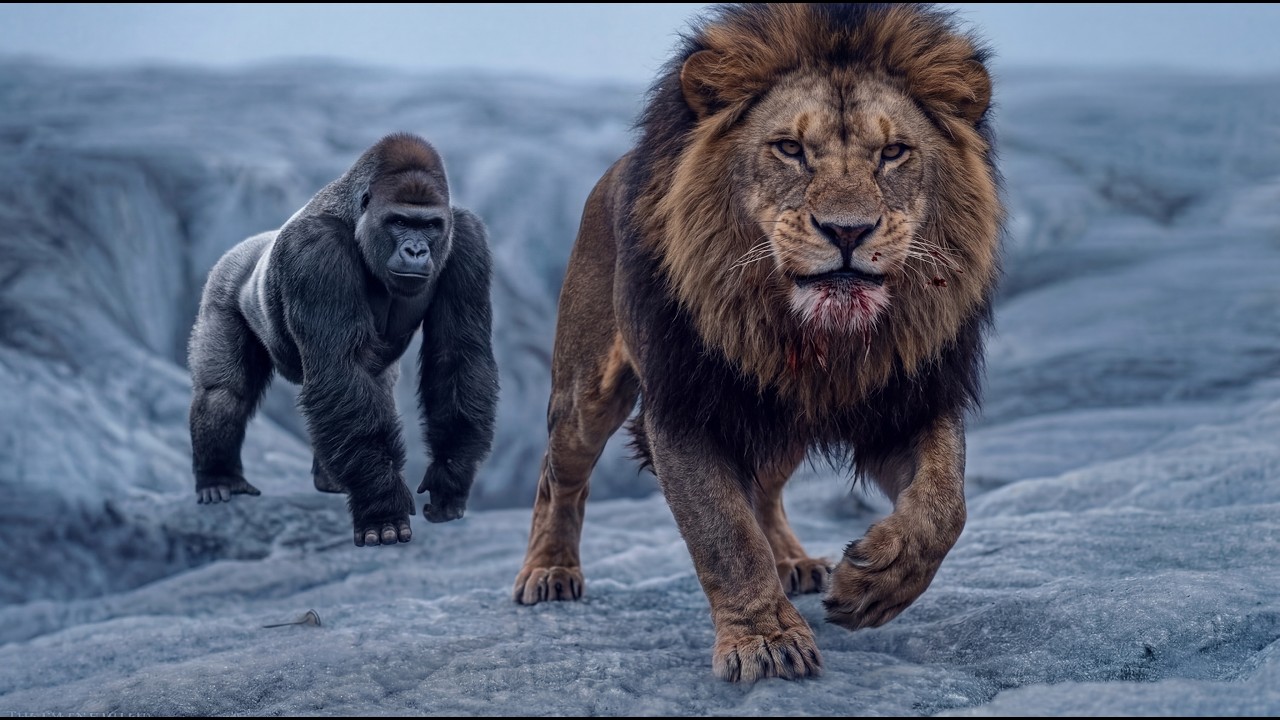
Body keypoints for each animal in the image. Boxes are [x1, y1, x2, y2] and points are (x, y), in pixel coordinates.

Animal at [187, 132, 498, 547]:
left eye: (430, 225)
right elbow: (340, 369)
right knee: (224, 392)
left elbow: (458, 357)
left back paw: (332, 478)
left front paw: (451, 473)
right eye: (399, 221)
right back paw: (218, 477)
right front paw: (381, 505)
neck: (355, 217)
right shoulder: (316, 251)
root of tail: (250, 244)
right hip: (223, 281)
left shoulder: (466, 240)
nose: (416, 250)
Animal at [513, 3, 1001, 683]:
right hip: (587, 394)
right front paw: (765, 641)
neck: (814, 339)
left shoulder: (906, 398)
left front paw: (873, 586)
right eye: (790, 149)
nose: (847, 231)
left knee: (765, 489)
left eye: (894, 152)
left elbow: (944, 505)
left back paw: (793, 561)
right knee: (559, 474)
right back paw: (549, 569)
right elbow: (724, 533)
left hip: (775, 415)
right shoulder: (683, 408)